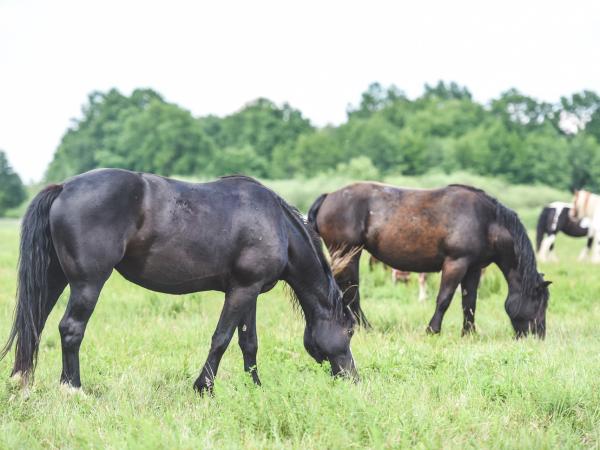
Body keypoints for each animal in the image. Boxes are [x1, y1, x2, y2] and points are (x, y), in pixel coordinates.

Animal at [0, 169, 356, 394]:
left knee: (35, 323)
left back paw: (23, 383)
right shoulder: (241, 291)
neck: (276, 224)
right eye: (350, 331)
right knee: (71, 329)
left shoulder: (249, 291)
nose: (353, 378)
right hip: (88, 284)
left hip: (54, 279)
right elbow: (221, 338)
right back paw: (72, 388)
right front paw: (204, 388)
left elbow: (249, 342)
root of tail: (63, 188)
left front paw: (255, 388)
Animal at [308, 183, 552, 338]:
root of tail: (328, 196)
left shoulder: (473, 269)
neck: (486, 222)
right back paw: (365, 328)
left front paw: (468, 333)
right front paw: (433, 330)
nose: (538, 335)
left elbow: (469, 302)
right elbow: (444, 299)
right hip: (348, 254)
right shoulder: (455, 263)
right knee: (352, 293)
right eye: (540, 303)